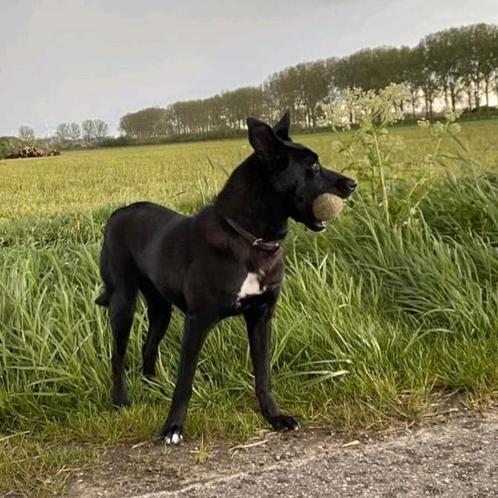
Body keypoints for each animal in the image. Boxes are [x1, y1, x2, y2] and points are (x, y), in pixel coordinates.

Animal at [95, 114, 356, 448]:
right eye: (312, 166)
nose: (352, 184)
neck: (251, 239)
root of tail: (119, 212)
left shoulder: (261, 317)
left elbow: (263, 375)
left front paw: (275, 417)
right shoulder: (197, 321)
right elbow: (185, 381)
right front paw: (173, 428)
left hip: (161, 309)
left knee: (148, 347)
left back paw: (153, 388)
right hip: (123, 304)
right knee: (118, 355)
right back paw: (121, 401)